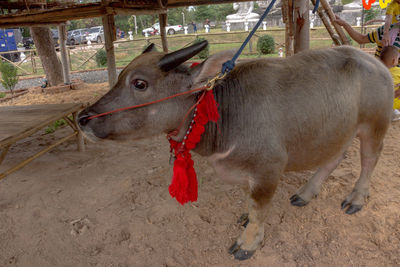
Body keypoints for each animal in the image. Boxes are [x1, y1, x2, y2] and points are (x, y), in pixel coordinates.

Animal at [78, 42, 394, 262]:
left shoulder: (268, 170)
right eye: (120, 77)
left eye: (140, 83)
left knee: (369, 160)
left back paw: (356, 198)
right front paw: (247, 218)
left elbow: (259, 208)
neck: (226, 115)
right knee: (335, 157)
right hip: (339, 130)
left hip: (374, 126)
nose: (83, 118)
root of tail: (376, 63)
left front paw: (248, 243)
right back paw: (306, 193)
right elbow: (251, 204)